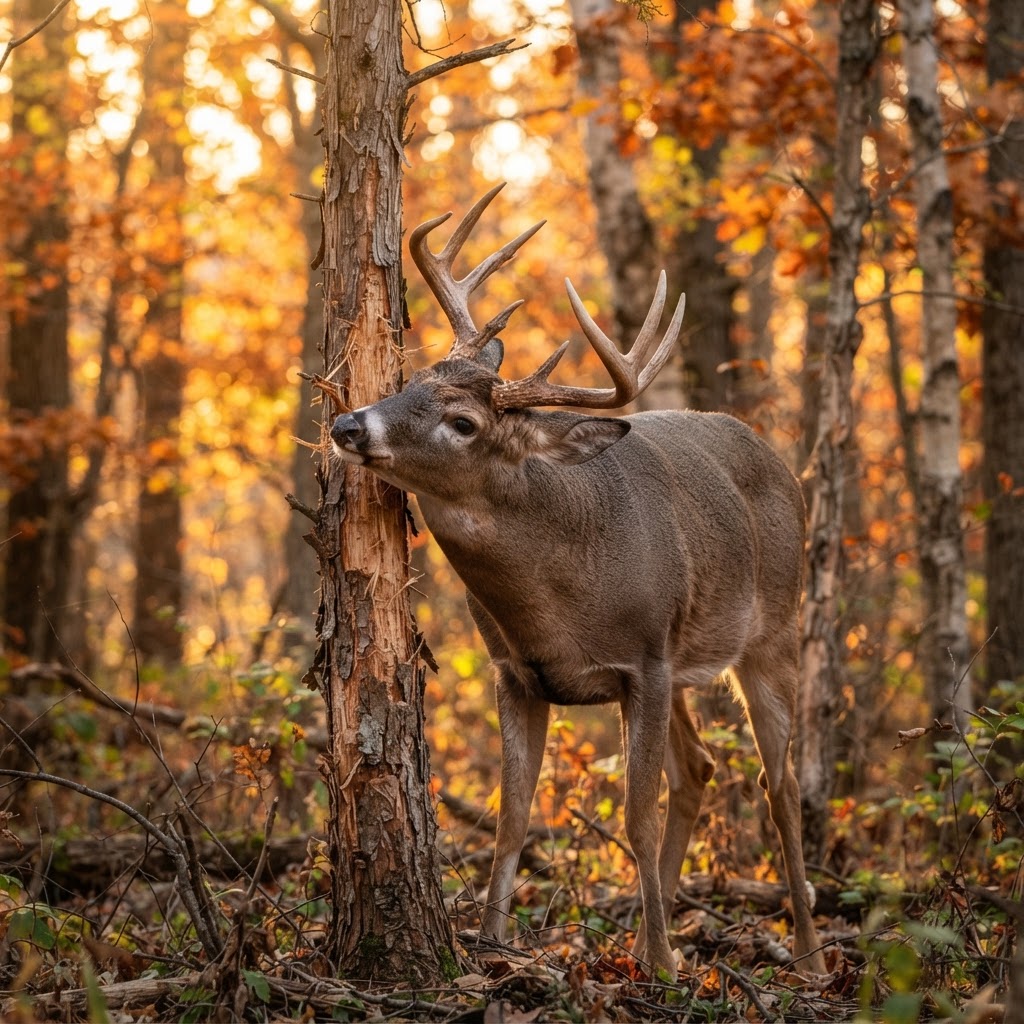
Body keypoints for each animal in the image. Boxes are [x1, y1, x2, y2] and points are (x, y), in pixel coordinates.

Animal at [330, 185, 827, 978]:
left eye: (463, 422)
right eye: (412, 378)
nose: (349, 425)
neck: (554, 598)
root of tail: (777, 458)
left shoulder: (643, 661)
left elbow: (636, 815)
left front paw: (666, 969)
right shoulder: (519, 671)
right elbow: (512, 816)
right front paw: (492, 948)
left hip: (771, 635)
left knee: (775, 786)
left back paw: (806, 956)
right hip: (684, 661)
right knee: (700, 768)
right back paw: (644, 941)